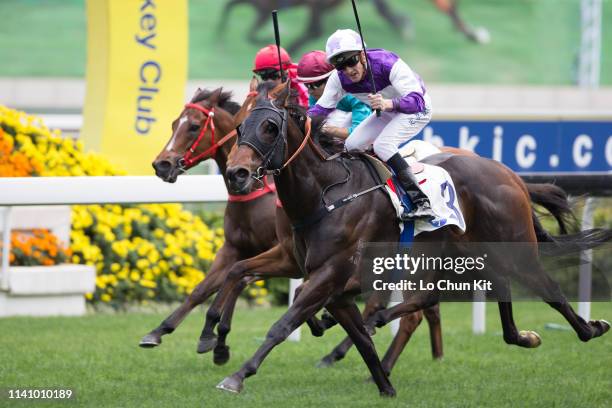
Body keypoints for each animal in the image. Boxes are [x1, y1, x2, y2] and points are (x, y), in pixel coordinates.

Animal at [221, 83, 612, 396]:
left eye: (270, 127)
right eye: (240, 126)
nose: (236, 173)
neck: (326, 193)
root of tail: (509, 174)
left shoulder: (330, 275)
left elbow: (283, 324)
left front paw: (237, 375)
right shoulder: (325, 281)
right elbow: (357, 338)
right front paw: (385, 385)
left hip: (512, 250)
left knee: (550, 290)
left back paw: (591, 328)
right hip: (461, 254)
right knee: (446, 296)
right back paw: (523, 336)